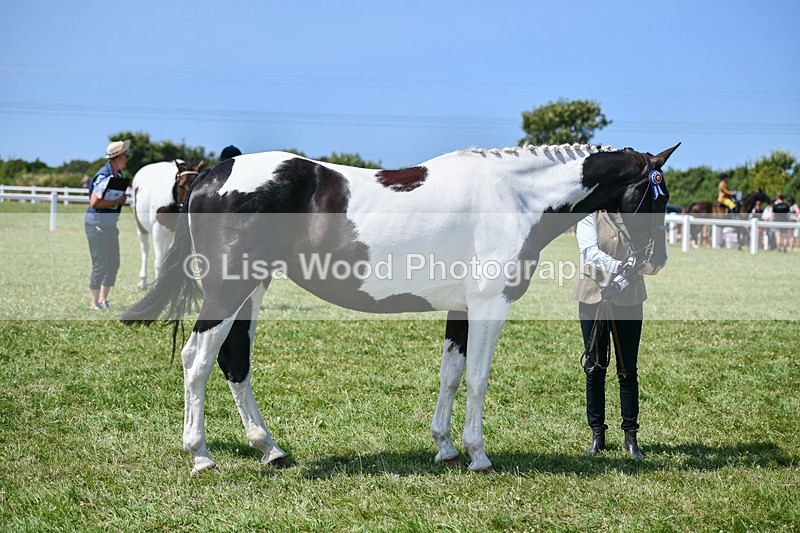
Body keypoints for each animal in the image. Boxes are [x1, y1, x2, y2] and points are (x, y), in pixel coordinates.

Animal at [132, 159, 204, 289]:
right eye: (181, 186)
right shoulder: (158, 229)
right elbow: (159, 262)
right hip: (142, 227)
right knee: (145, 249)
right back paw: (143, 281)